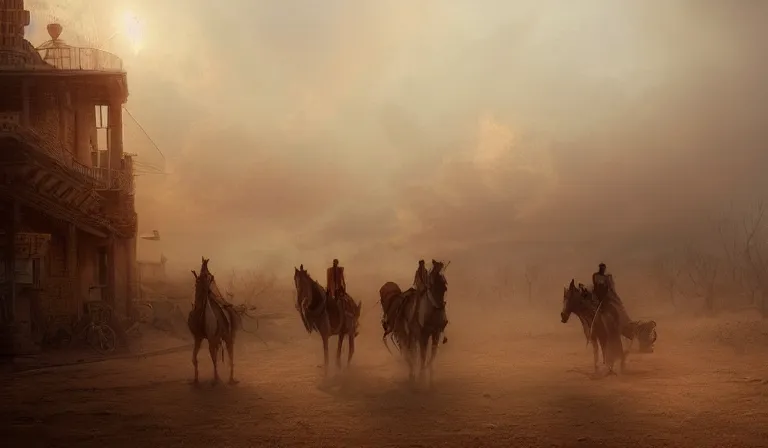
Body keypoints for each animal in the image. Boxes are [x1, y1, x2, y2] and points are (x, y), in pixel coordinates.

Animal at [188, 256, 242, 384]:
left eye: (209, 275)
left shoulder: (211, 337)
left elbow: (211, 356)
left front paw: (215, 378)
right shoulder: (199, 337)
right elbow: (195, 357)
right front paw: (196, 379)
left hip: (225, 336)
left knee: (227, 353)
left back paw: (226, 378)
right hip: (220, 337)